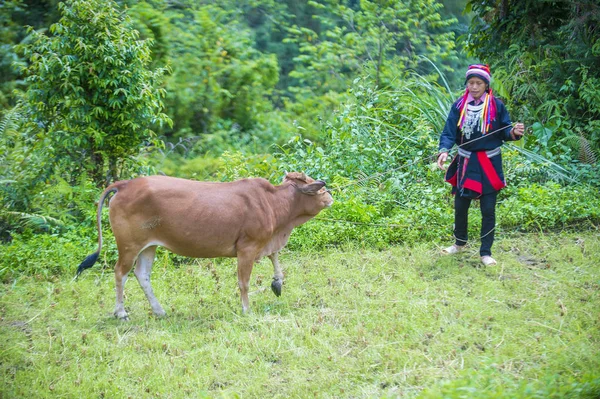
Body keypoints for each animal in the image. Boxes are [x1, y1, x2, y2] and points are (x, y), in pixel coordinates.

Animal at [75, 171, 332, 318]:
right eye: (318, 188)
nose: (330, 196)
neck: (272, 202)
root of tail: (126, 184)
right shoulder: (247, 248)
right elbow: (244, 282)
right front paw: (246, 309)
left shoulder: (265, 242)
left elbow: (274, 256)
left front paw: (277, 282)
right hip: (129, 246)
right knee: (120, 273)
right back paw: (121, 312)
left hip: (149, 246)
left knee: (142, 275)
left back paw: (159, 311)